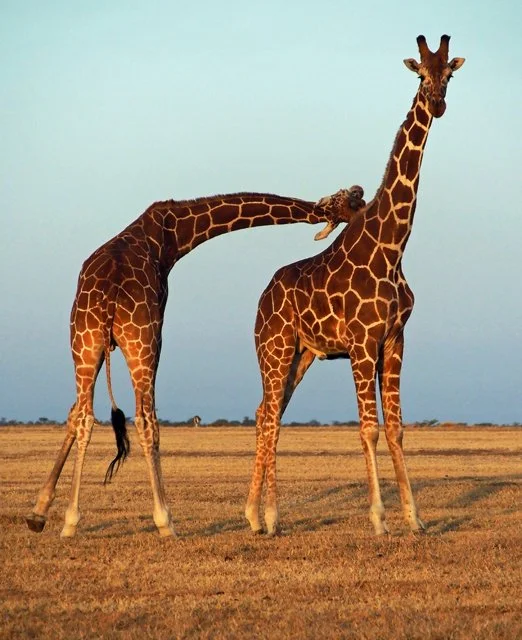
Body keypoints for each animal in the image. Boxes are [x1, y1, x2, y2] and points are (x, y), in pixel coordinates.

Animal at [26, 187, 365, 538]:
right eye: (351, 202)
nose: (361, 209)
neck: (173, 234)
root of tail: (108, 297)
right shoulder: (156, 329)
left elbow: (72, 414)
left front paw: (39, 512)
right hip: (141, 342)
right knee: (145, 419)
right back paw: (165, 520)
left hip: (85, 341)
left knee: (85, 417)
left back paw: (70, 522)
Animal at [245, 35, 465, 537]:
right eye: (420, 74)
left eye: (449, 74)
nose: (438, 104)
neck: (393, 246)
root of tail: (262, 300)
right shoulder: (363, 343)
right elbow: (368, 428)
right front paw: (380, 519)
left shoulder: (395, 339)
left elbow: (397, 427)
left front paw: (415, 519)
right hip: (274, 348)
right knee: (268, 415)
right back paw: (268, 516)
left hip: (301, 354)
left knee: (269, 413)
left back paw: (255, 516)